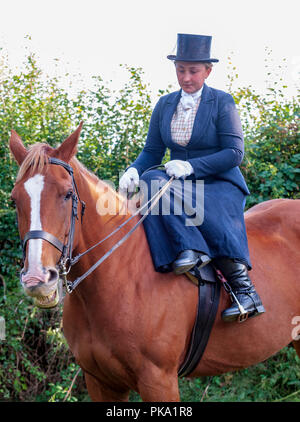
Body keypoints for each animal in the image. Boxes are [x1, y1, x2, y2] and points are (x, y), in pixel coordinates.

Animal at [8, 123, 300, 400]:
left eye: (68, 194)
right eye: (14, 199)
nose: (37, 279)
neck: (119, 273)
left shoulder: (158, 380)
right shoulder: (100, 382)